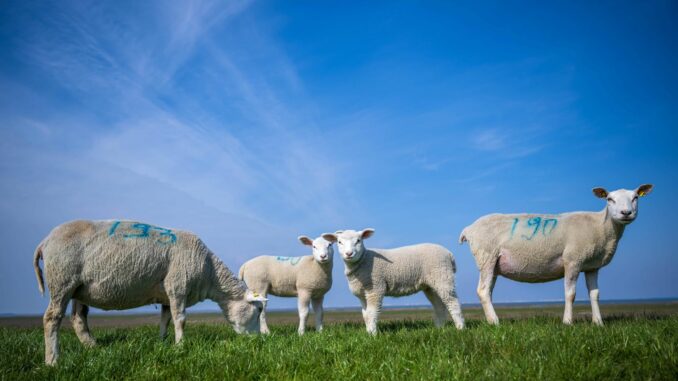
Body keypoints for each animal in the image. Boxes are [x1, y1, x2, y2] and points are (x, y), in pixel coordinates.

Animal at [33, 218, 268, 364]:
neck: (209, 272)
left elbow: (165, 319)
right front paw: (180, 346)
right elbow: (180, 319)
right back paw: (53, 360)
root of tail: (45, 241)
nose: (257, 342)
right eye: (257, 311)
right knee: (52, 318)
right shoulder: (177, 286)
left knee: (78, 318)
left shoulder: (166, 294)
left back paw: (93, 347)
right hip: (62, 280)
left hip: (79, 288)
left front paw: (162, 343)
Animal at [322, 229, 464, 332]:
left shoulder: (375, 289)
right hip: (431, 285)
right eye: (339, 242)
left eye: (358, 241)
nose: (349, 254)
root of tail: (449, 254)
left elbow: (372, 313)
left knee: (453, 302)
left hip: (443, 276)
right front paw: (368, 332)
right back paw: (439, 328)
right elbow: (366, 315)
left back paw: (460, 328)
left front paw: (372, 334)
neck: (364, 260)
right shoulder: (362, 294)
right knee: (439, 305)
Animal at [460, 183, 656, 324]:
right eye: (609, 199)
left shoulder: (592, 266)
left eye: (635, 197)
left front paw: (598, 323)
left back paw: (490, 320)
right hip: (487, 256)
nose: (626, 213)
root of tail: (469, 228)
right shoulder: (573, 260)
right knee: (483, 291)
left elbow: (595, 294)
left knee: (488, 291)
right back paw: (495, 322)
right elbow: (570, 294)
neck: (601, 226)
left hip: (493, 263)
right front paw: (567, 322)